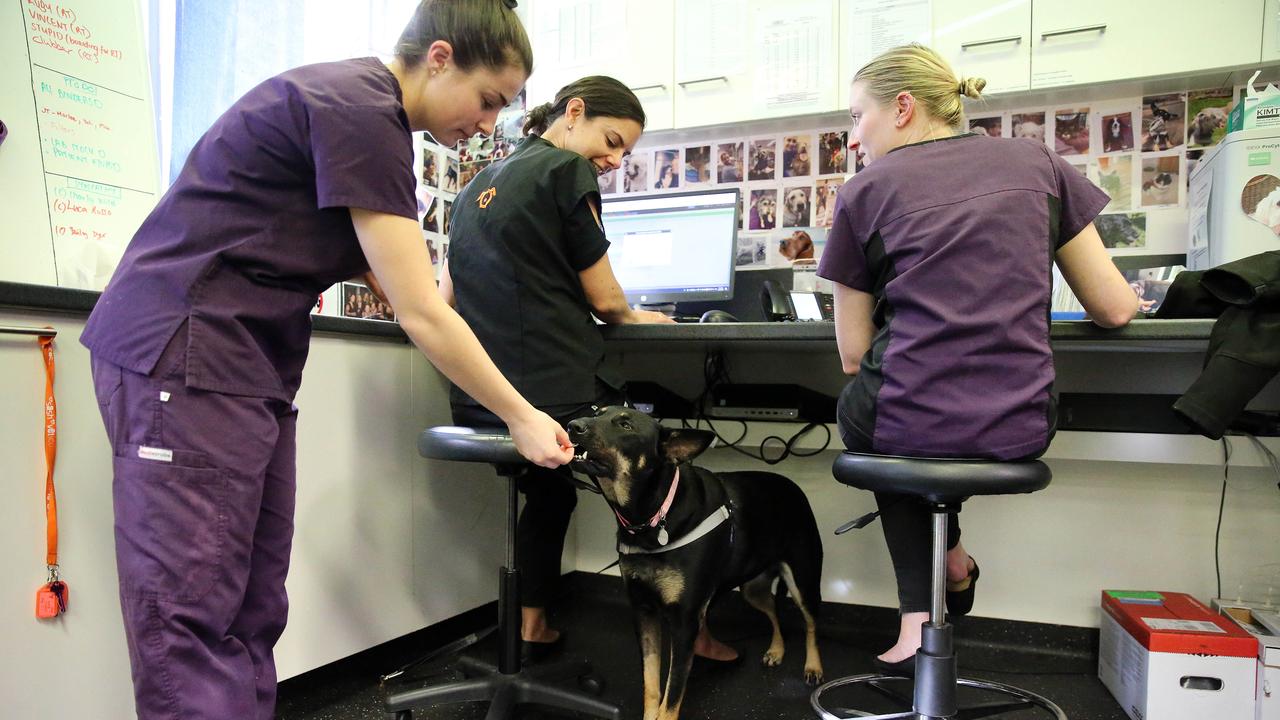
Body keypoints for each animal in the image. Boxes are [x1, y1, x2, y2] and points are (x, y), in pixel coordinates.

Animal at [568, 407, 824, 712]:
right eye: (596, 411)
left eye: (626, 425)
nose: (571, 425)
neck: (651, 516)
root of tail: (792, 487)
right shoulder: (644, 613)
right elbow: (651, 687)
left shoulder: (684, 623)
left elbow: (670, 700)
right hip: (752, 588)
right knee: (773, 609)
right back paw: (776, 649)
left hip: (803, 581)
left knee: (811, 623)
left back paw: (813, 666)